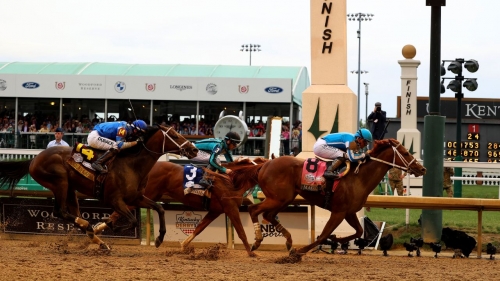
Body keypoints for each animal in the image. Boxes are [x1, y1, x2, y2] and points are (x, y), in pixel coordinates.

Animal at [0, 123, 199, 248]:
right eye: (174, 135)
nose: (194, 149)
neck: (132, 164)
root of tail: (34, 159)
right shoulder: (114, 200)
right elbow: (133, 220)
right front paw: (110, 226)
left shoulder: (136, 197)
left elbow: (160, 208)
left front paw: (159, 238)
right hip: (60, 183)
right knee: (60, 212)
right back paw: (89, 227)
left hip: (70, 188)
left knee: (72, 214)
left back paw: (97, 239)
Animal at [94, 156, 266, 255]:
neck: (231, 181)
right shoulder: (231, 208)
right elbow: (241, 232)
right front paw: (251, 251)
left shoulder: (216, 210)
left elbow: (200, 227)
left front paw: (184, 245)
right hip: (144, 195)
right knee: (118, 211)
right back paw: (97, 230)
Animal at [246, 138, 426, 254]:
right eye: (406, 153)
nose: (422, 169)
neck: (358, 177)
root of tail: (265, 164)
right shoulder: (339, 212)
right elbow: (324, 235)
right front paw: (300, 251)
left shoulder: (349, 212)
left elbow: (358, 231)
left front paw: (336, 239)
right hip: (278, 198)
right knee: (254, 209)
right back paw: (255, 244)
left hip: (284, 199)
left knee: (269, 215)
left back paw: (288, 241)